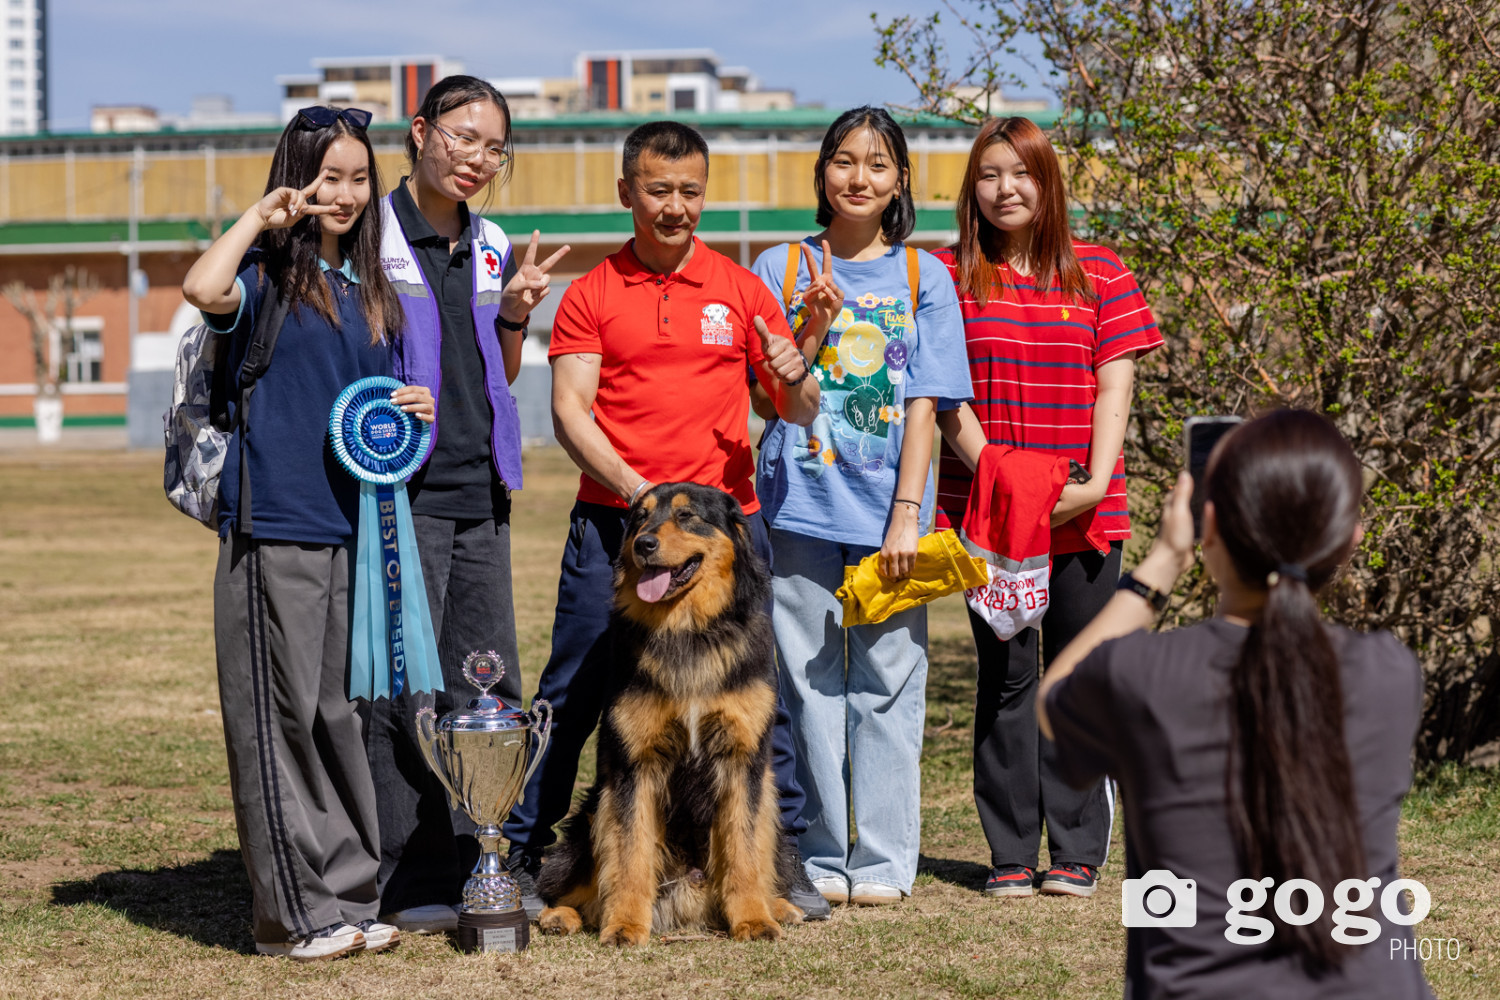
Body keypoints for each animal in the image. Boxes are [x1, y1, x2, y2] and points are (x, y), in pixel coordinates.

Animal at [537, 485, 804, 947]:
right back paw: (558, 915)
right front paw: (625, 925)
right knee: (570, 885)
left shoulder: (742, 762)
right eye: (640, 518)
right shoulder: (634, 766)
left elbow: (744, 851)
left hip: (769, 802)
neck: (688, 630)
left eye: (686, 516)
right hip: (590, 817)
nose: (643, 545)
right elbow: (631, 855)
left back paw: (779, 906)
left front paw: (754, 919)